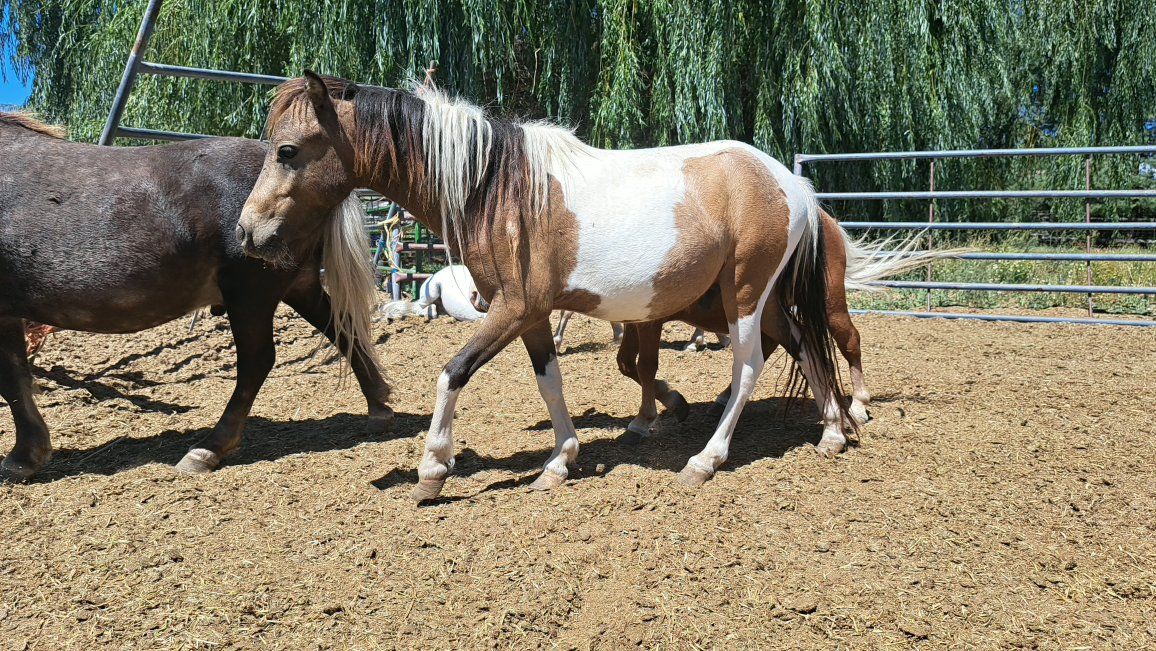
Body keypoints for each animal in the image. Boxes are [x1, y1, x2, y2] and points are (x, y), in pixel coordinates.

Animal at [0, 111, 392, 481]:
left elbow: (11, 382)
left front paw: (21, 459)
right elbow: (16, 376)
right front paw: (29, 453)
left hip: (250, 293)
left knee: (257, 361)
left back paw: (209, 449)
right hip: (299, 286)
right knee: (342, 329)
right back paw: (379, 404)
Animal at [238, 72, 856, 501]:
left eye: (287, 152)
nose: (247, 231)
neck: (495, 188)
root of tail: (791, 185)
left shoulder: (512, 307)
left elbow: (452, 372)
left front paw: (433, 467)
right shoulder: (531, 315)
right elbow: (550, 383)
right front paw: (560, 461)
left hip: (745, 295)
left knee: (749, 365)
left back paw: (706, 460)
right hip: (758, 297)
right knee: (804, 344)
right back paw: (832, 430)